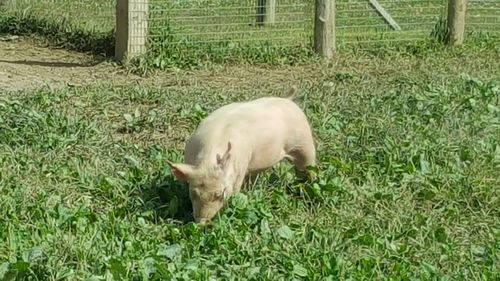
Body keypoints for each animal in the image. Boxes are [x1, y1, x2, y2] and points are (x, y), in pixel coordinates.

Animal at [168, 86, 316, 224]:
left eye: (220, 193)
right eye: (193, 193)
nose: (201, 223)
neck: (208, 160)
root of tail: (288, 99)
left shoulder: (240, 167)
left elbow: (236, 190)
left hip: (304, 142)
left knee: (307, 166)